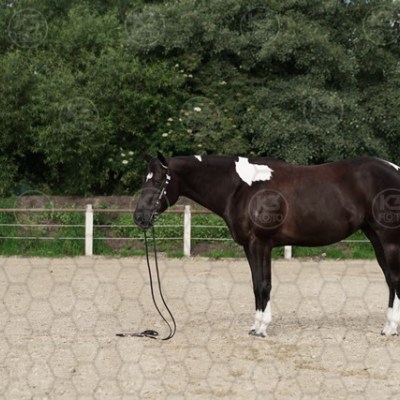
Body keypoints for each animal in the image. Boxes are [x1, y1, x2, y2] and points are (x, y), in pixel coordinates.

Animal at [134, 152, 400, 337]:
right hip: (375, 238)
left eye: (159, 181)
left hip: (389, 240)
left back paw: (391, 329)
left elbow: (264, 284)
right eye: (145, 179)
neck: (241, 188)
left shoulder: (261, 244)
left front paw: (262, 328)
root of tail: (395, 169)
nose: (139, 217)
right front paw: (255, 326)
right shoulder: (249, 246)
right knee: (389, 280)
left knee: (395, 280)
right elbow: (255, 285)